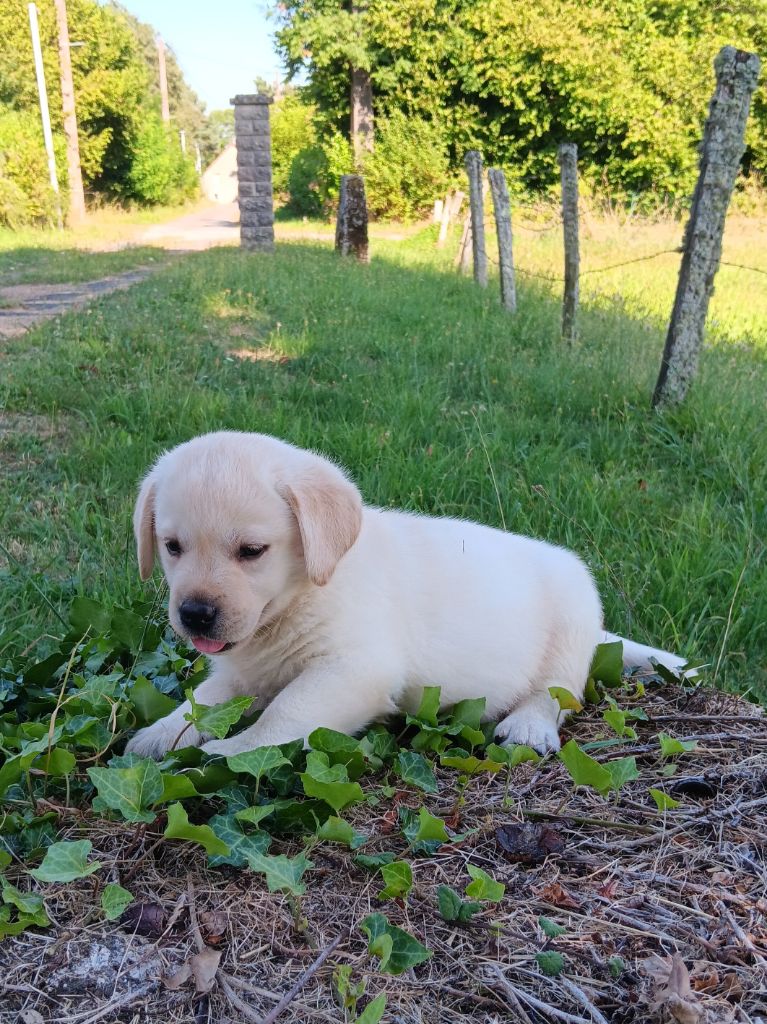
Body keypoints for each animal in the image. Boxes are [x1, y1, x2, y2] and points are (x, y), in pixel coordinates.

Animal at [125, 432, 688, 761]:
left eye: (251, 551)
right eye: (172, 546)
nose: (195, 614)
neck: (303, 594)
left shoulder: (353, 671)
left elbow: (284, 715)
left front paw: (233, 750)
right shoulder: (241, 672)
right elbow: (202, 702)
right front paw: (160, 733)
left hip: (573, 615)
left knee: (557, 691)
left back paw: (529, 726)